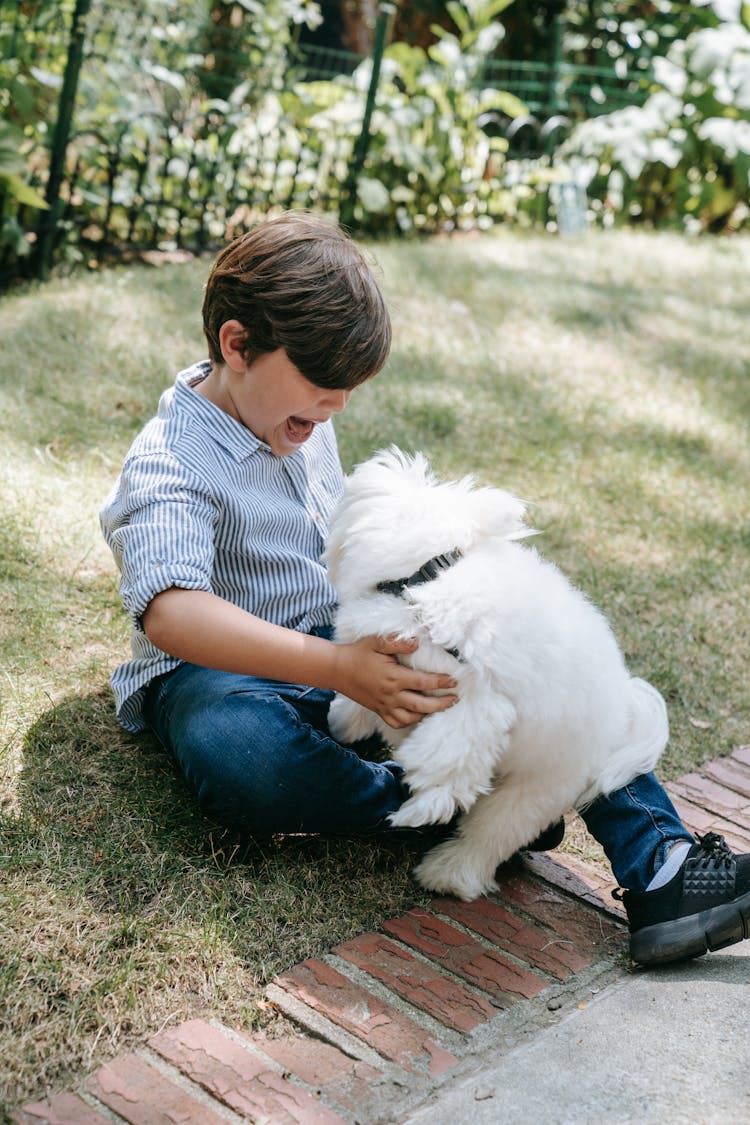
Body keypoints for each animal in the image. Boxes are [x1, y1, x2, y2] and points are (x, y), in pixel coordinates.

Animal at [323, 450, 670, 904]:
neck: (432, 576)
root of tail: (623, 713)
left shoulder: (478, 706)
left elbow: (446, 759)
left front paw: (423, 803)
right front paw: (347, 721)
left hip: (536, 786)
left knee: (491, 834)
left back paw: (448, 874)